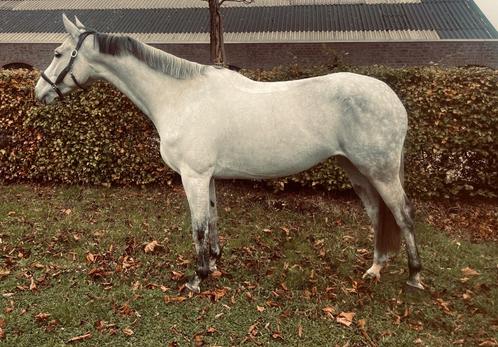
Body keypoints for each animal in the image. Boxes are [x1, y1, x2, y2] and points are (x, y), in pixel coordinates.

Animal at [35, 15, 424, 294]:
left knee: (402, 215)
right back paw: (374, 269)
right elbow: (212, 220)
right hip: (357, 170)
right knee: (378, 214)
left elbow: (197, 226)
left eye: (57, 54)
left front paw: (197, 278)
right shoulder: (206, 177)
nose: (39, 91)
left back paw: (414, 278)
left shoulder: (192, 176)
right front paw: (214, 265)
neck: (181, 96)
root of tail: (391, 96)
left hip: (381, 171)